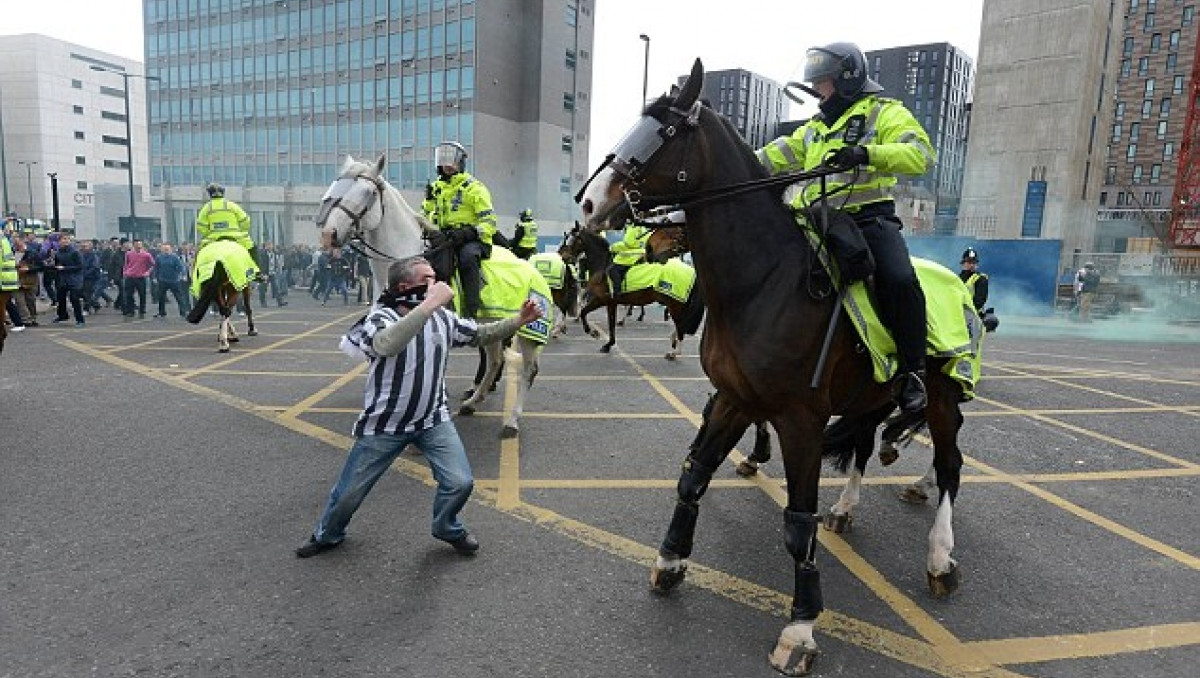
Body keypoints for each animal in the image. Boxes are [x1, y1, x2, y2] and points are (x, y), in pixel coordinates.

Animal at [314, 153, 549, 436]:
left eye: (368, 193)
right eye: (336, 185)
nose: (329, 235)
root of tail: (530, 265)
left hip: (528, 334)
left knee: (527, 370)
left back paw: (512, 420)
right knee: (495, 360)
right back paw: (473, 401)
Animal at [559, 222, 700, 360]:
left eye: (572, 239)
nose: (564, 257)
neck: (602, 264)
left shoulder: (602, 299)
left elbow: (584, 312)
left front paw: (593, 333)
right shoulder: (611, 303)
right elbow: (610, 323)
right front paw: (609, 344)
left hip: (674, 304)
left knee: (680, 324)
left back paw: (675, 352)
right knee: (681, 323)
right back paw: (672, 340)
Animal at [578, 60, 974, 672]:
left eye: (663, 131)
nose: (589, 204)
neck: (763, 283)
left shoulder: (799, 419)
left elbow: (796, 521)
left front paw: (802, 626)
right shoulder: (736, 399)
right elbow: (693, 477)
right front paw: (670, 561)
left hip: (941, 395)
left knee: (950, 465)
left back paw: (939, 557)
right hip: (871, 395)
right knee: (865, 445)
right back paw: (850, 505)